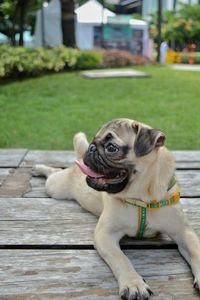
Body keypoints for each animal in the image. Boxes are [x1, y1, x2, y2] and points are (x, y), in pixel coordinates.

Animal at [33, 118, 200, 298]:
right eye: (93, 140)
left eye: (111, 148)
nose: (91, 148)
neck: (141, 197)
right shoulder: (105, 234)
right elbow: (121, 259)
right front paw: (134, 283)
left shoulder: (183, 232)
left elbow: (196, 251)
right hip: (55, 187)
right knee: (53, 172)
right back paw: (39, 168)